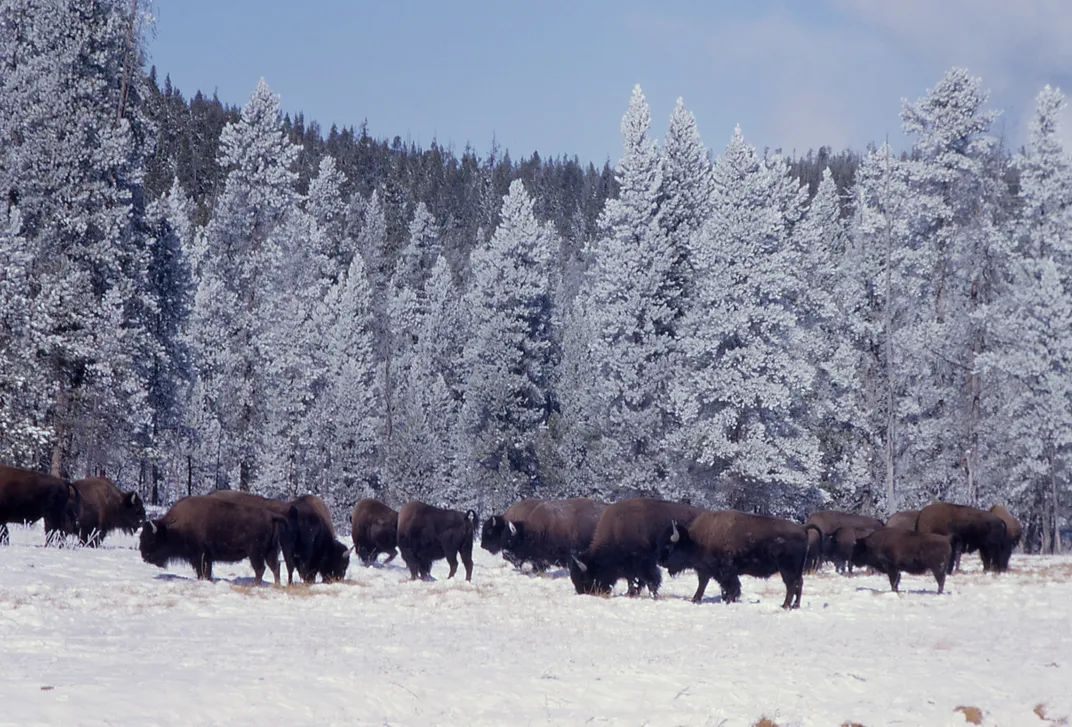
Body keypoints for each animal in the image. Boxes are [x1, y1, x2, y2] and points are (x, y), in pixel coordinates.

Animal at [141, 495, 286, 584]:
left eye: (152, 540)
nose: (144, 556)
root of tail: (271, 516)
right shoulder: (207, 556)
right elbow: (207, 571)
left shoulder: (199, 555)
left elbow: (201, 570)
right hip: (270, 551)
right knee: (275, 566)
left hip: (255, 553)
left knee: (260, 569)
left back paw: (254, 585)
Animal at [569, 498, 702, 597]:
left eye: (584, 579)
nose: (585, 593)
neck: (615, 531)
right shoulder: (630, 566)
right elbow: (633, 580)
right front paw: (631, 593)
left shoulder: (644, 563)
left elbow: (650, 579)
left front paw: (651, 595)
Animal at [656, 510, 820, 609]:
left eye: (670, 546)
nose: (661, 561)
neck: (694, 541)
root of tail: (802, 528)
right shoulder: (708, 571)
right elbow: (706, 584)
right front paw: (696, 599)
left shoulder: (724, 571)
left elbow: (730, 587)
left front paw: (726, 600)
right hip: (797, 569)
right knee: (799, 584)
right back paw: (795, 606)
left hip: (787, 568)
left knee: (791, 585)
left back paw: (785, 606)